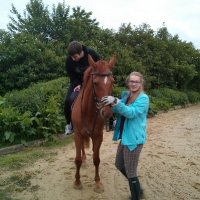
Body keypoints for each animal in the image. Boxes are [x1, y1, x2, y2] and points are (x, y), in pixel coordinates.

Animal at [71, 54, 116, 192]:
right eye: (95, 83)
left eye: (112, 81)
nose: (107, 112)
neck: (88, 111)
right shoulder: (78, 135)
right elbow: (77, 160)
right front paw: (77, 182)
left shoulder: (98, 136)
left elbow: (96, 159)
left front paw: (97, 183)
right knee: (81, 150)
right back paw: (84, 159)